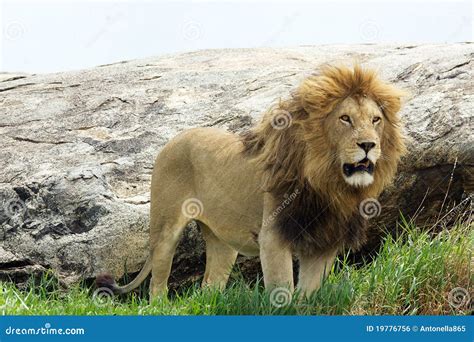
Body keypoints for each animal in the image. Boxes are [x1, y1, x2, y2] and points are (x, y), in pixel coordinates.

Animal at [97, 64, 408, 300]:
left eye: (376, 120)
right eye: (345, 118)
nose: (368, 145)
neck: (328, 182)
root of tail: (172, 139)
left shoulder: (324, 243)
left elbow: (308, 294)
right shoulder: (273, 238)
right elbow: (283, 291)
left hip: (222, 241)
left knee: (209, 286)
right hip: (164, 230)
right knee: (157, 284)